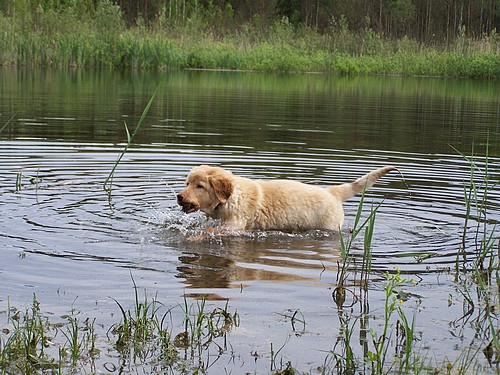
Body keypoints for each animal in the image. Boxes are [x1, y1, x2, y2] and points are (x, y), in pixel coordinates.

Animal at [178, 166, 396, 234]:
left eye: (200, 186)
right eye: (187, 183)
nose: (179, 196)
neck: (231, 197)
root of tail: (333, 192)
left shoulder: (235, 225)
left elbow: (208, 232)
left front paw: (193, 238)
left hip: (329, 225)